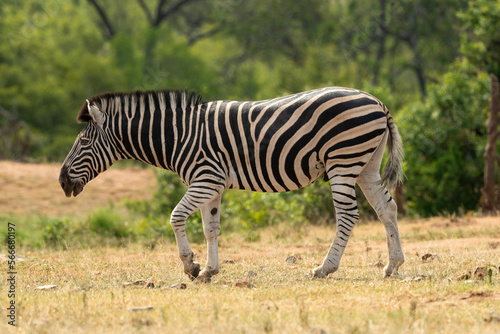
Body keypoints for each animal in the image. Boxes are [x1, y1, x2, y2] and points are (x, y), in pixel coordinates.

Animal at [58, 87, 404, 282]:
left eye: (84, 142)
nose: (61, 181)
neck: (178, 136)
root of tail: (378, 102)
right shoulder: (212, 185)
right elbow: (211, 228)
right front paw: (209, 270)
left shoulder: (205, 179)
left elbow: (175, 216)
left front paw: (190, 265)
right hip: (366, 165)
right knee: (387, 209)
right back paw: (393, 265)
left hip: (343, 160)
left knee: (347, 215)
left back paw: (325, 268)